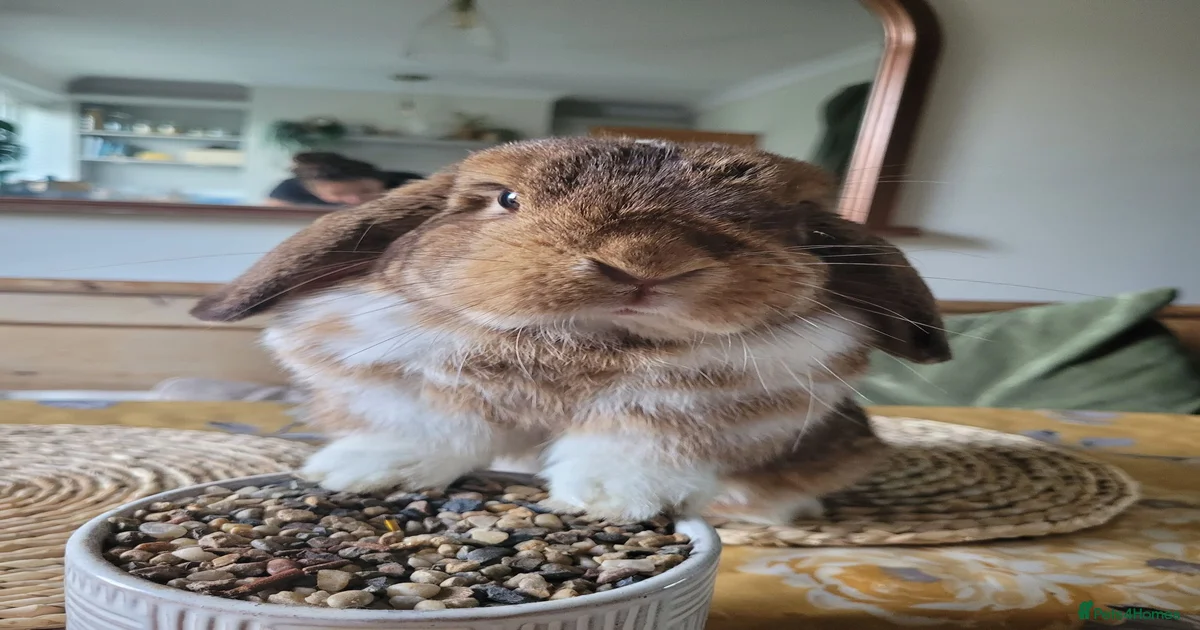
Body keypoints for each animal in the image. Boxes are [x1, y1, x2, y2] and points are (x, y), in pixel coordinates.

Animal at [191, 137, 950, 525]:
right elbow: (433, 432)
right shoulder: (411, 384)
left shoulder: (690, 409)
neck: (580, 341)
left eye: (789, 225)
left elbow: (629, 449)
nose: (645, 262)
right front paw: (361, 474)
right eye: (506, 199)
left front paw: (610, 504)